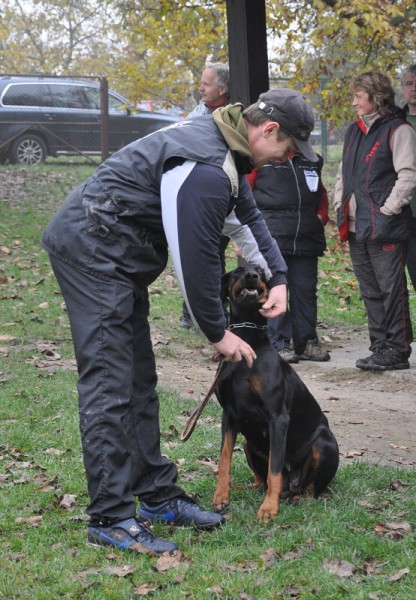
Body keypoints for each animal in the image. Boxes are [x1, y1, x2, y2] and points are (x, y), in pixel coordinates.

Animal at [213, 264, 340, 524]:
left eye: (260, 272)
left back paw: (295, 497)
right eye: (238, 271)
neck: (248, 341)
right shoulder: (228, 415)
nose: (252, 275)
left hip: (324, 444)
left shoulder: (277, 417)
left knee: (310, 489)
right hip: (249, 444)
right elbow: (224, 458)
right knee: (261, 482)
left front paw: (269, 509)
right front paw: (221, 495)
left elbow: (275, 468)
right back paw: (243, 489)